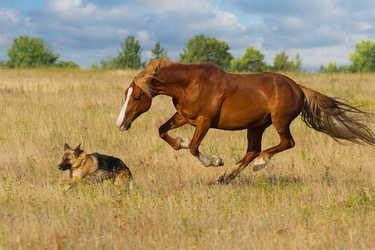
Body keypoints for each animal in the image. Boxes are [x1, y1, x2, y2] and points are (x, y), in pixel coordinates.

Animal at [116, 58, 375, 184]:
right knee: (252, 149)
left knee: (285, 143)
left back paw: (258, 164)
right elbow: (163, 131)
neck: (190, 83)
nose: (120, 124)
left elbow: (194, 148)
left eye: (137, 97)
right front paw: (181, 142)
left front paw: (216, 161)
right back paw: (228, 176)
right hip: (256, 126)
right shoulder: (184, 117)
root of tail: (299, 88)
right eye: (126, 93)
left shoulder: (205, 120)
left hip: (279, 121)